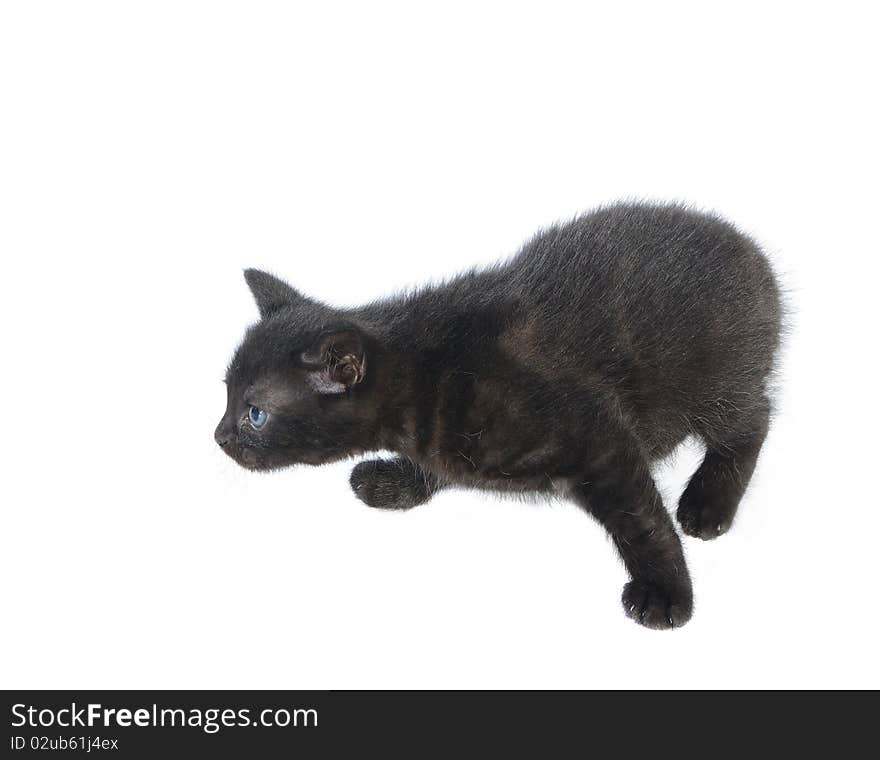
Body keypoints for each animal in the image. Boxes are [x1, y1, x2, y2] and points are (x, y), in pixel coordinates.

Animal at [217, 202, 780, 628]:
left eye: (255, 414)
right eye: (226, 394)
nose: (219, 436)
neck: (425, 377)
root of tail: (751, 250)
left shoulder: (601, 440)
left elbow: (641, 521)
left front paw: (666, 592)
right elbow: (438, 464)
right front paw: (397, 481)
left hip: (718, 380)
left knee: (753, 420)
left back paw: (708, 503)